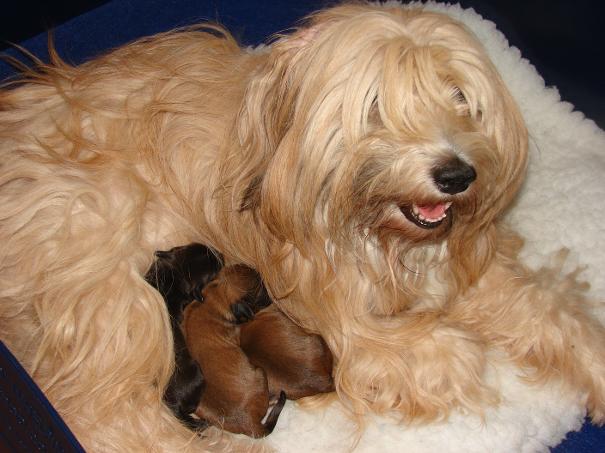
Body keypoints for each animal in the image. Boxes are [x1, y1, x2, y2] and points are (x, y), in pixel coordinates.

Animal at [1, 1, 604, 450]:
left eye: (460, 95)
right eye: (376, 104)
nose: (457, 175)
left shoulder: (464, 267)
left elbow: (551, 316)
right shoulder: (341, 315)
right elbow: (435, 351)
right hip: (116, 294)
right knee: (105, 415)